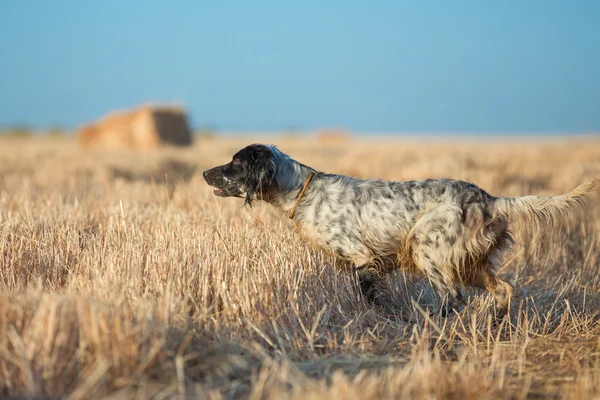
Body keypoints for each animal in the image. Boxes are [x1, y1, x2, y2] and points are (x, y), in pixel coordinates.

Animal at [203, 144, 600, 316]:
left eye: (235, 162)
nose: (206, 173)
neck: (303, 189)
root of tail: (489, 199)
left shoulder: (362, 257)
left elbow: (370, 295)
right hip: (471, 264)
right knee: (503, 290)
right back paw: (494, 323)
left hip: (428, 248)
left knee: (452, 297)